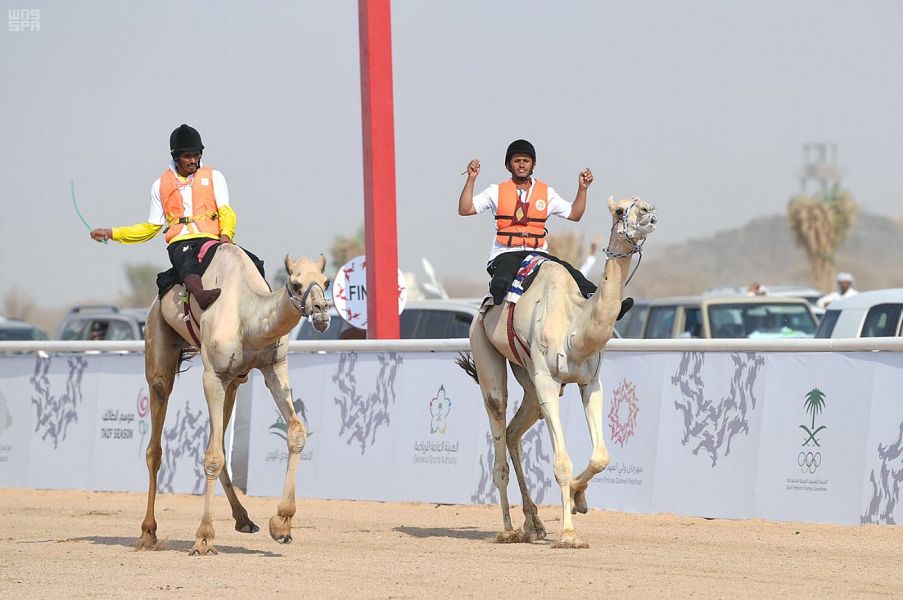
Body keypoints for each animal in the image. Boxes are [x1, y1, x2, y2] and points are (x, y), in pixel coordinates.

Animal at [136, 243, 330, 552]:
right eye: (296, 284)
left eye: (326, 282)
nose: (322, 312)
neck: (247, 315)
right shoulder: (212, 375)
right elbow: (212, 456)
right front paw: (203, 537)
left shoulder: (273, 367)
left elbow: (296, 432)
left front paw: (282, 524)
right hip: (159, 345)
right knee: (156, 441)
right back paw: (147, 533)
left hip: (235, 383)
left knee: (220, 441)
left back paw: (244, 519)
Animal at [462, 196, 652, 548]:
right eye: (620, 210)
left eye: (645, 202)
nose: (648, 213)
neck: (575, 326)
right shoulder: (548, 382)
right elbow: (562, 462)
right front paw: (568, 534)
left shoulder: (590, 382)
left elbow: (601, 456)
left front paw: (578, 497)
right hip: (484, 348)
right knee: (498, 427)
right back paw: (508, 529)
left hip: (527, 378)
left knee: (513, 432)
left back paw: (534, 523)